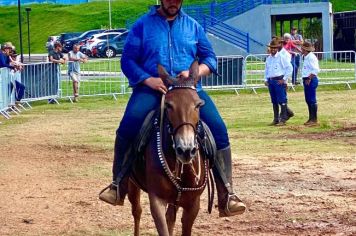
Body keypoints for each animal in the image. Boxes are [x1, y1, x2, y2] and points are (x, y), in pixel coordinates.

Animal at [127, 61, 209, 236]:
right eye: (169, 105)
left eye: (198, 105)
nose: (186, 150)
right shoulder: (157, 200)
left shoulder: (193, 204)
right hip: (132, 185)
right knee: (137, 211)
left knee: (170, 217)